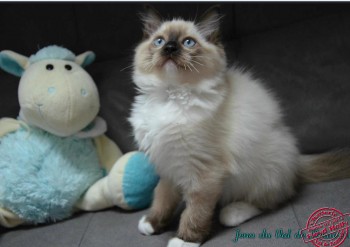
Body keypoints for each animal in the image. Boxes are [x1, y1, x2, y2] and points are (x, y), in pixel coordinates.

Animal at [129, 5, 350, 247]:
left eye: (188, 42)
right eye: (159, 41)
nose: (169, 48)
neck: (170, 96)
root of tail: (297, 162)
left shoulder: (204, 172)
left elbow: (195, 211)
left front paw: (184, 240)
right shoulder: (168, 164)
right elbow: (162, 198)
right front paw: (152, 223)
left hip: (264, 172)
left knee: (271, 201)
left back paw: (232, 212)